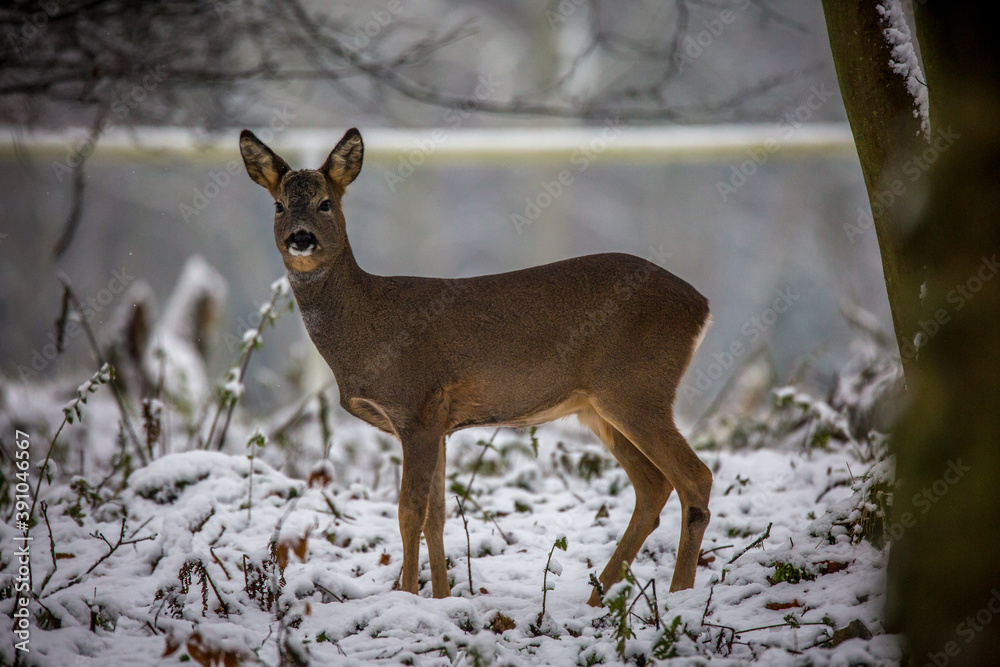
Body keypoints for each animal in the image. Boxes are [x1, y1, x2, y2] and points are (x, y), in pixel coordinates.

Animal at [239, 127, 713, 606]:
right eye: (279, 205)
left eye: (325, 203)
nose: (301, 238)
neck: (367, 328)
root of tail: (701, 304)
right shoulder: (440, 422)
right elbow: (437, 514)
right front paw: (441, 600)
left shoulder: (416, 406)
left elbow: (409, 512)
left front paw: (407, 598)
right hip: (599, 407)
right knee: (653, 486)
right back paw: (599, 599)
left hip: (636, 388)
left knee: (696, 476)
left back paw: (680, 594)